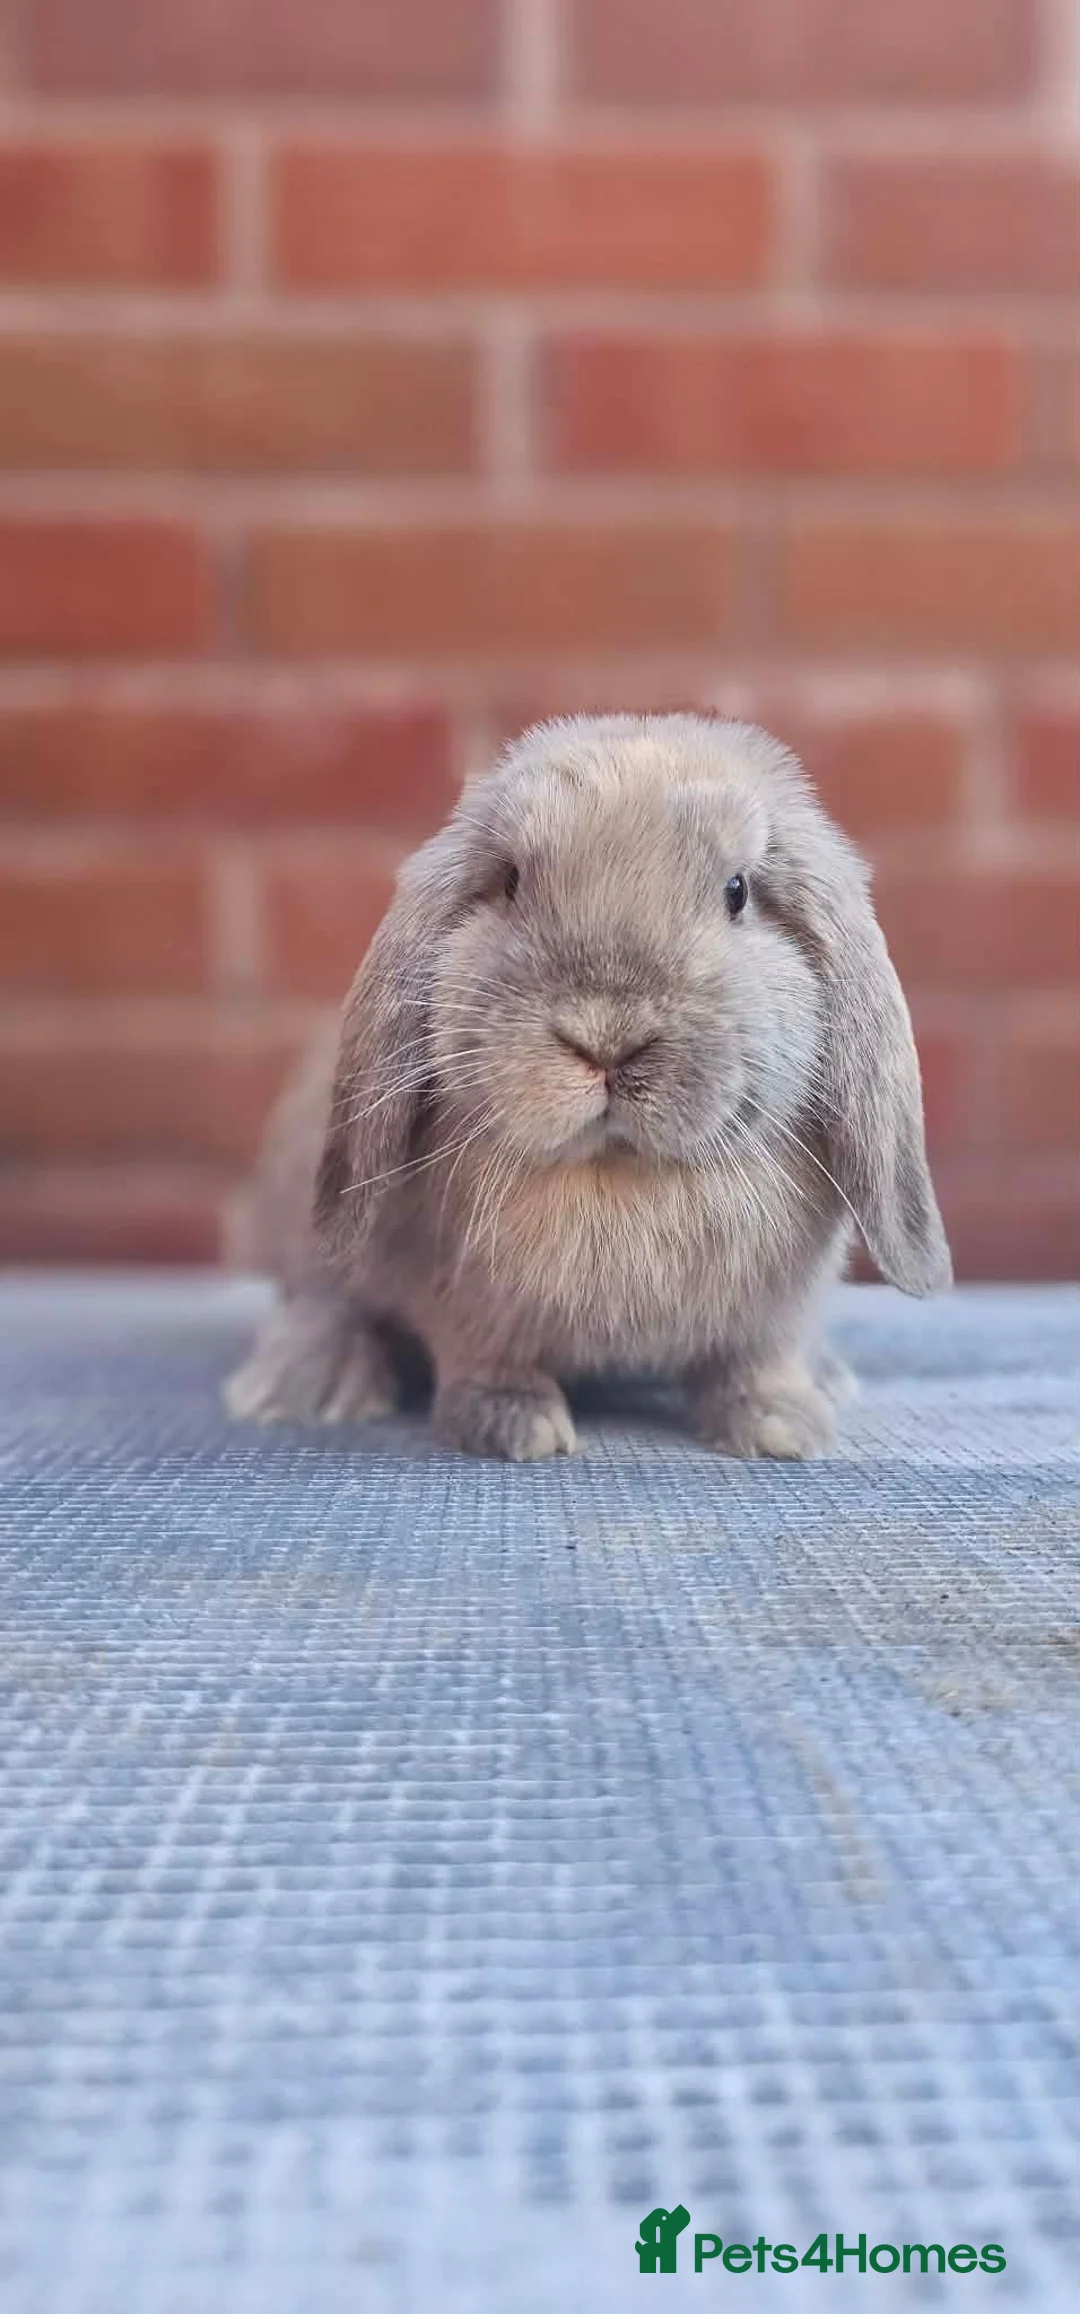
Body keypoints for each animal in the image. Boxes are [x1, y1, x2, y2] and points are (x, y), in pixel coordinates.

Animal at [225, 714, 951, 1460]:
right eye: (510, 881)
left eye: (737, 891)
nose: (606, 1035)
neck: (617, 1173)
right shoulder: (464, 1301)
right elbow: (484, 1358)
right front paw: (515, 1427)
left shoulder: (776, 1312)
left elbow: (758, 1360)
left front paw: (782, 1426)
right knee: (321, 1299)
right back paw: (311, 1383)